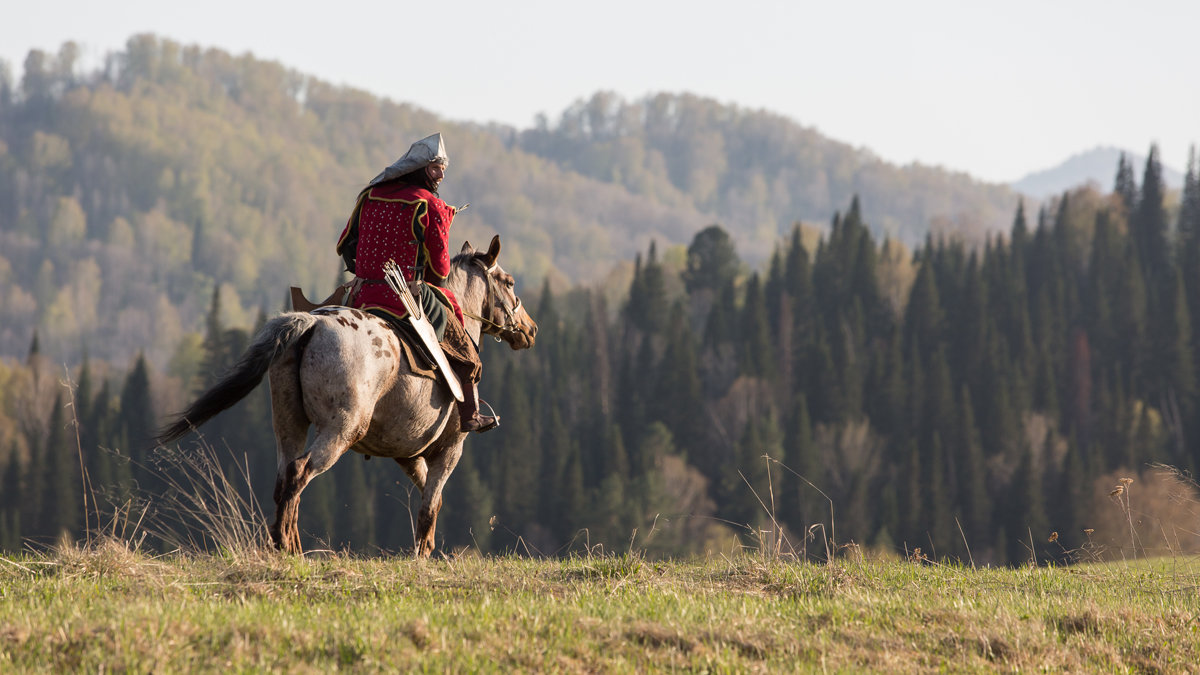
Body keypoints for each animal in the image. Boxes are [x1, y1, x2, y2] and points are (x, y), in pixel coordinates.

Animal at [156, 236, 540, 557]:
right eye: (509, 282)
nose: (531, 329)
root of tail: (311, 324)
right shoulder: (449, 449)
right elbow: (431, 502)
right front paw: (423, 554)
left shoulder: (407, 453)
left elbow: (430, 496)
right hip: (341, 429)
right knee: (300, 472)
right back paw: (285, 543)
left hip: (289, 423)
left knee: (284, 478)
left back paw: (289, 545)